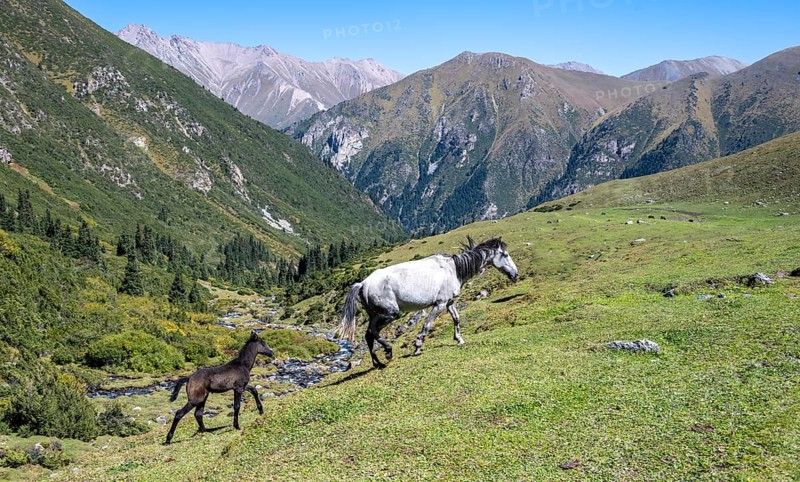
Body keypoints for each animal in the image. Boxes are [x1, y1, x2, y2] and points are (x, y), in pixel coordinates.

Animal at [337, 236, 518, 368]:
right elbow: (427, 324)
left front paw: (459, 339)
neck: (453, 269)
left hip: (375, 314)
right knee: (373, 331)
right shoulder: (439, 304)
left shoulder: (449, 302)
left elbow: (456, 318)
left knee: (368, 335)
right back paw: (388, 352)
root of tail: (363, 284)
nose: (515, 274)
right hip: (389, 314)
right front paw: (417, 346)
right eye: (505, 255)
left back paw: (378, 363)